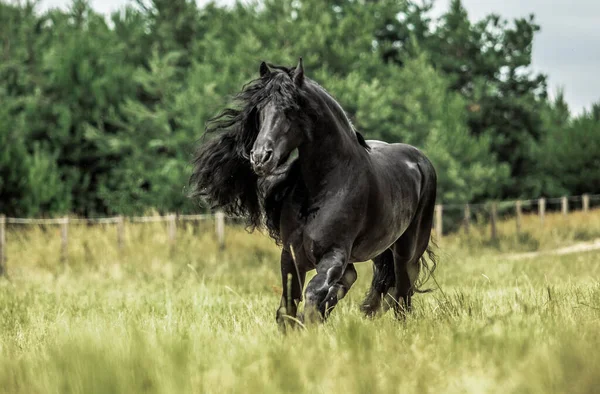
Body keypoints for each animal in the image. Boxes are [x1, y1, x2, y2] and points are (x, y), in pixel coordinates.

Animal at [190, 57, 438, 324]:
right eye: (259, 110)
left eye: (290, 109)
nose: (260, 157)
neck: (326, 187)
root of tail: (420, 161)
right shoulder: (292, 256)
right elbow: (287, 307)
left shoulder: (334, 254)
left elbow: (312, 294)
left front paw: (309, 323)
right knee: (356, 281)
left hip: (406, 250)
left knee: (403, 292)